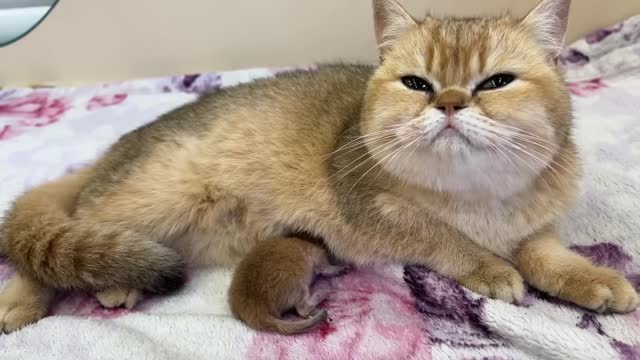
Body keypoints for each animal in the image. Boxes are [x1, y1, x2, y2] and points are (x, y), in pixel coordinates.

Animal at [1, 0, 640, 334]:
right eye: (416, 83)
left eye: (497, 82)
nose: (451, 103)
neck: (475, 195)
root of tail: (105, 157)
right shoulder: (377, 216)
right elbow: (444, 239)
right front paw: (489, 268)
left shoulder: (536, 223)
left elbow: (546, 253)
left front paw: (595, 279)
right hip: (152, 199)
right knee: (54, 242)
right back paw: (27, 301)